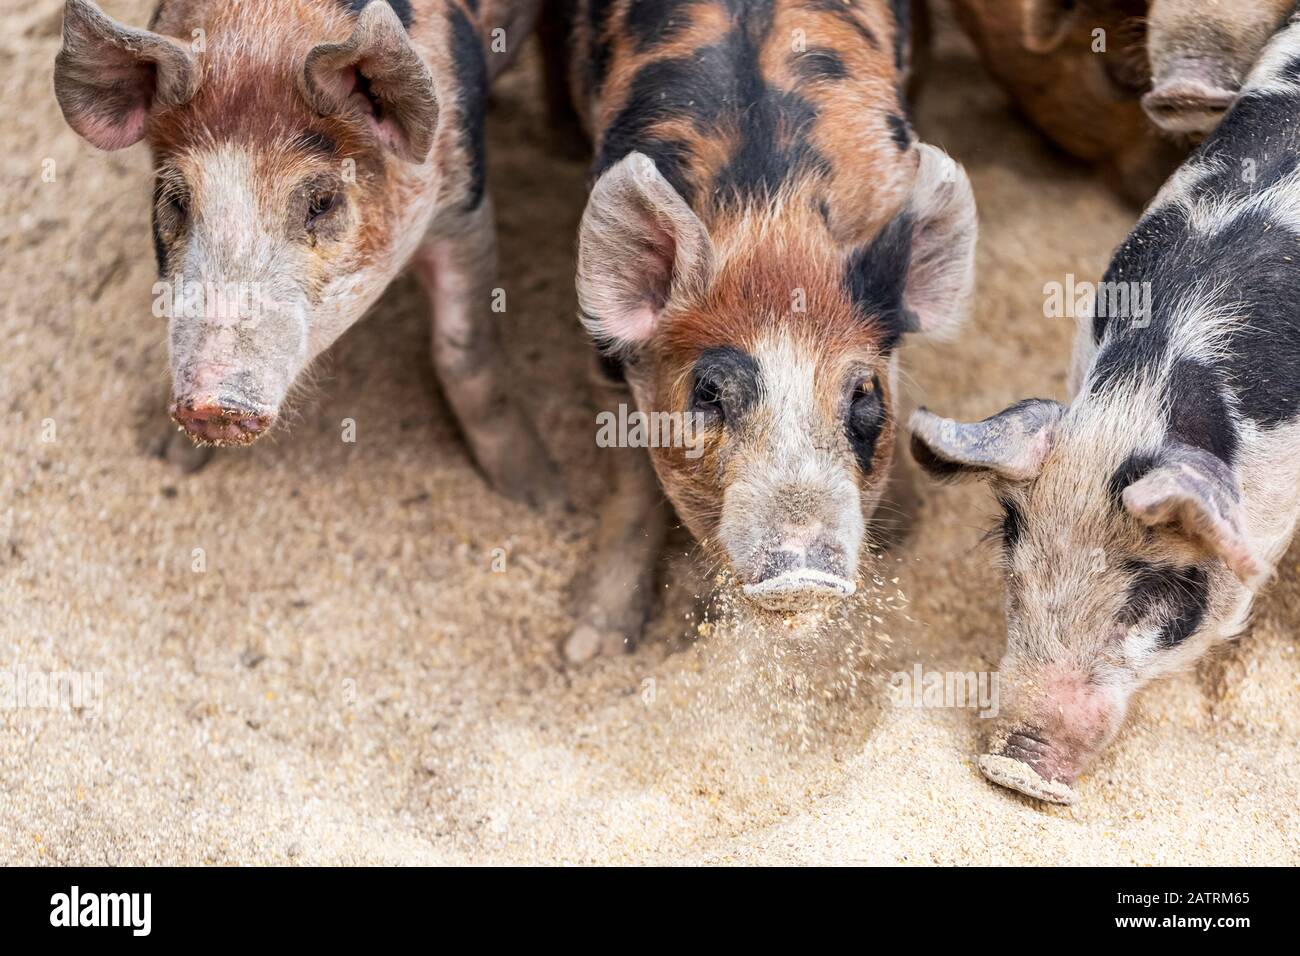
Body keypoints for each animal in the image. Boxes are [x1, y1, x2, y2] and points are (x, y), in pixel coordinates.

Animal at [55, 0, 564, 509]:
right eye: (176, 199)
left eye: (322, 201)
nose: (213, 405)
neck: (262, 33)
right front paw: (167, 457)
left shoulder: (462, 205)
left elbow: (463, 354)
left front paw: (544, 496)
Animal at [548, 0, 977, 660]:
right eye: (708, 393)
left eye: (865, 395)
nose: (803, 571)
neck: (772, 213)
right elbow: (630, 482)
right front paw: (588, 651)